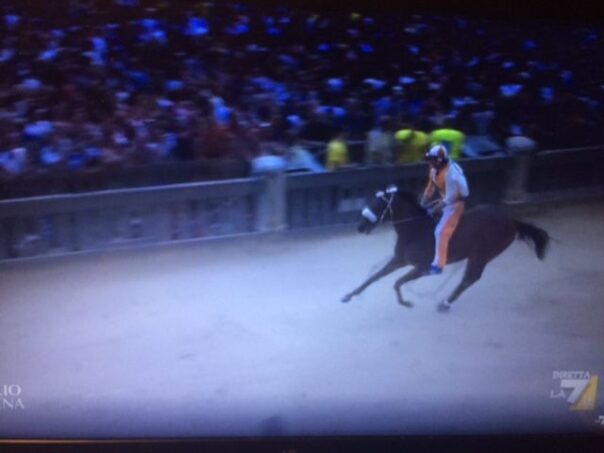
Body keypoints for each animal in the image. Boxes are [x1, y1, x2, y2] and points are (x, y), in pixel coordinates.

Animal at [342, 185, 548, 310]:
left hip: (483, 253)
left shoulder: (421, 267)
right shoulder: (399, 260)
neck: (415, 230)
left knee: (471, 277)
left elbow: (397, 282)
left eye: (378, 205)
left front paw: (405, 302)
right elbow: (374, 277)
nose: (360, 227)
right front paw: (348, 295)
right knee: (470, 277)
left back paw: (446, 302)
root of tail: (512, 221)